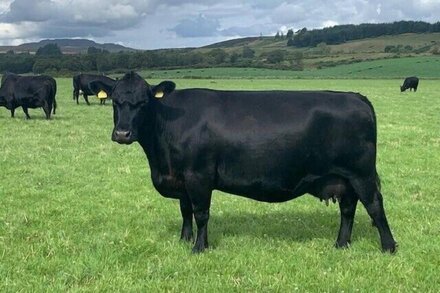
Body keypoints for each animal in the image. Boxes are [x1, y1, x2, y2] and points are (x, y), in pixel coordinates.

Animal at [91, 72, 398, 252]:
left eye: (143, 102)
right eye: (115, 101)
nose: (122, 133)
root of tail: (355, 96)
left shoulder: (198, 175)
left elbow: (201, 213)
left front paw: (199, 248)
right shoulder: (181, 177)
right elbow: (185, 210)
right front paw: (184, 239)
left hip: (361, 173)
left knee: (374, 205)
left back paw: (388, 247)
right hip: (344, 178)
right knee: (348, 209)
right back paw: (341, 244)